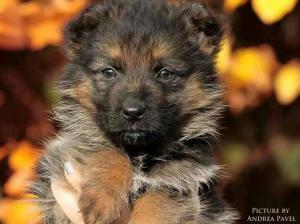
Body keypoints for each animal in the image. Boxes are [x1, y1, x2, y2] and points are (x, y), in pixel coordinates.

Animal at [31, 0, 238, 223]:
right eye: (109, 72)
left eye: (165, 73)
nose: (132, 112)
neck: (139, 152)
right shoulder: (61, 165)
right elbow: (108, 151)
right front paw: (103, 197)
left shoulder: (183, 181)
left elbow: (159, 202)